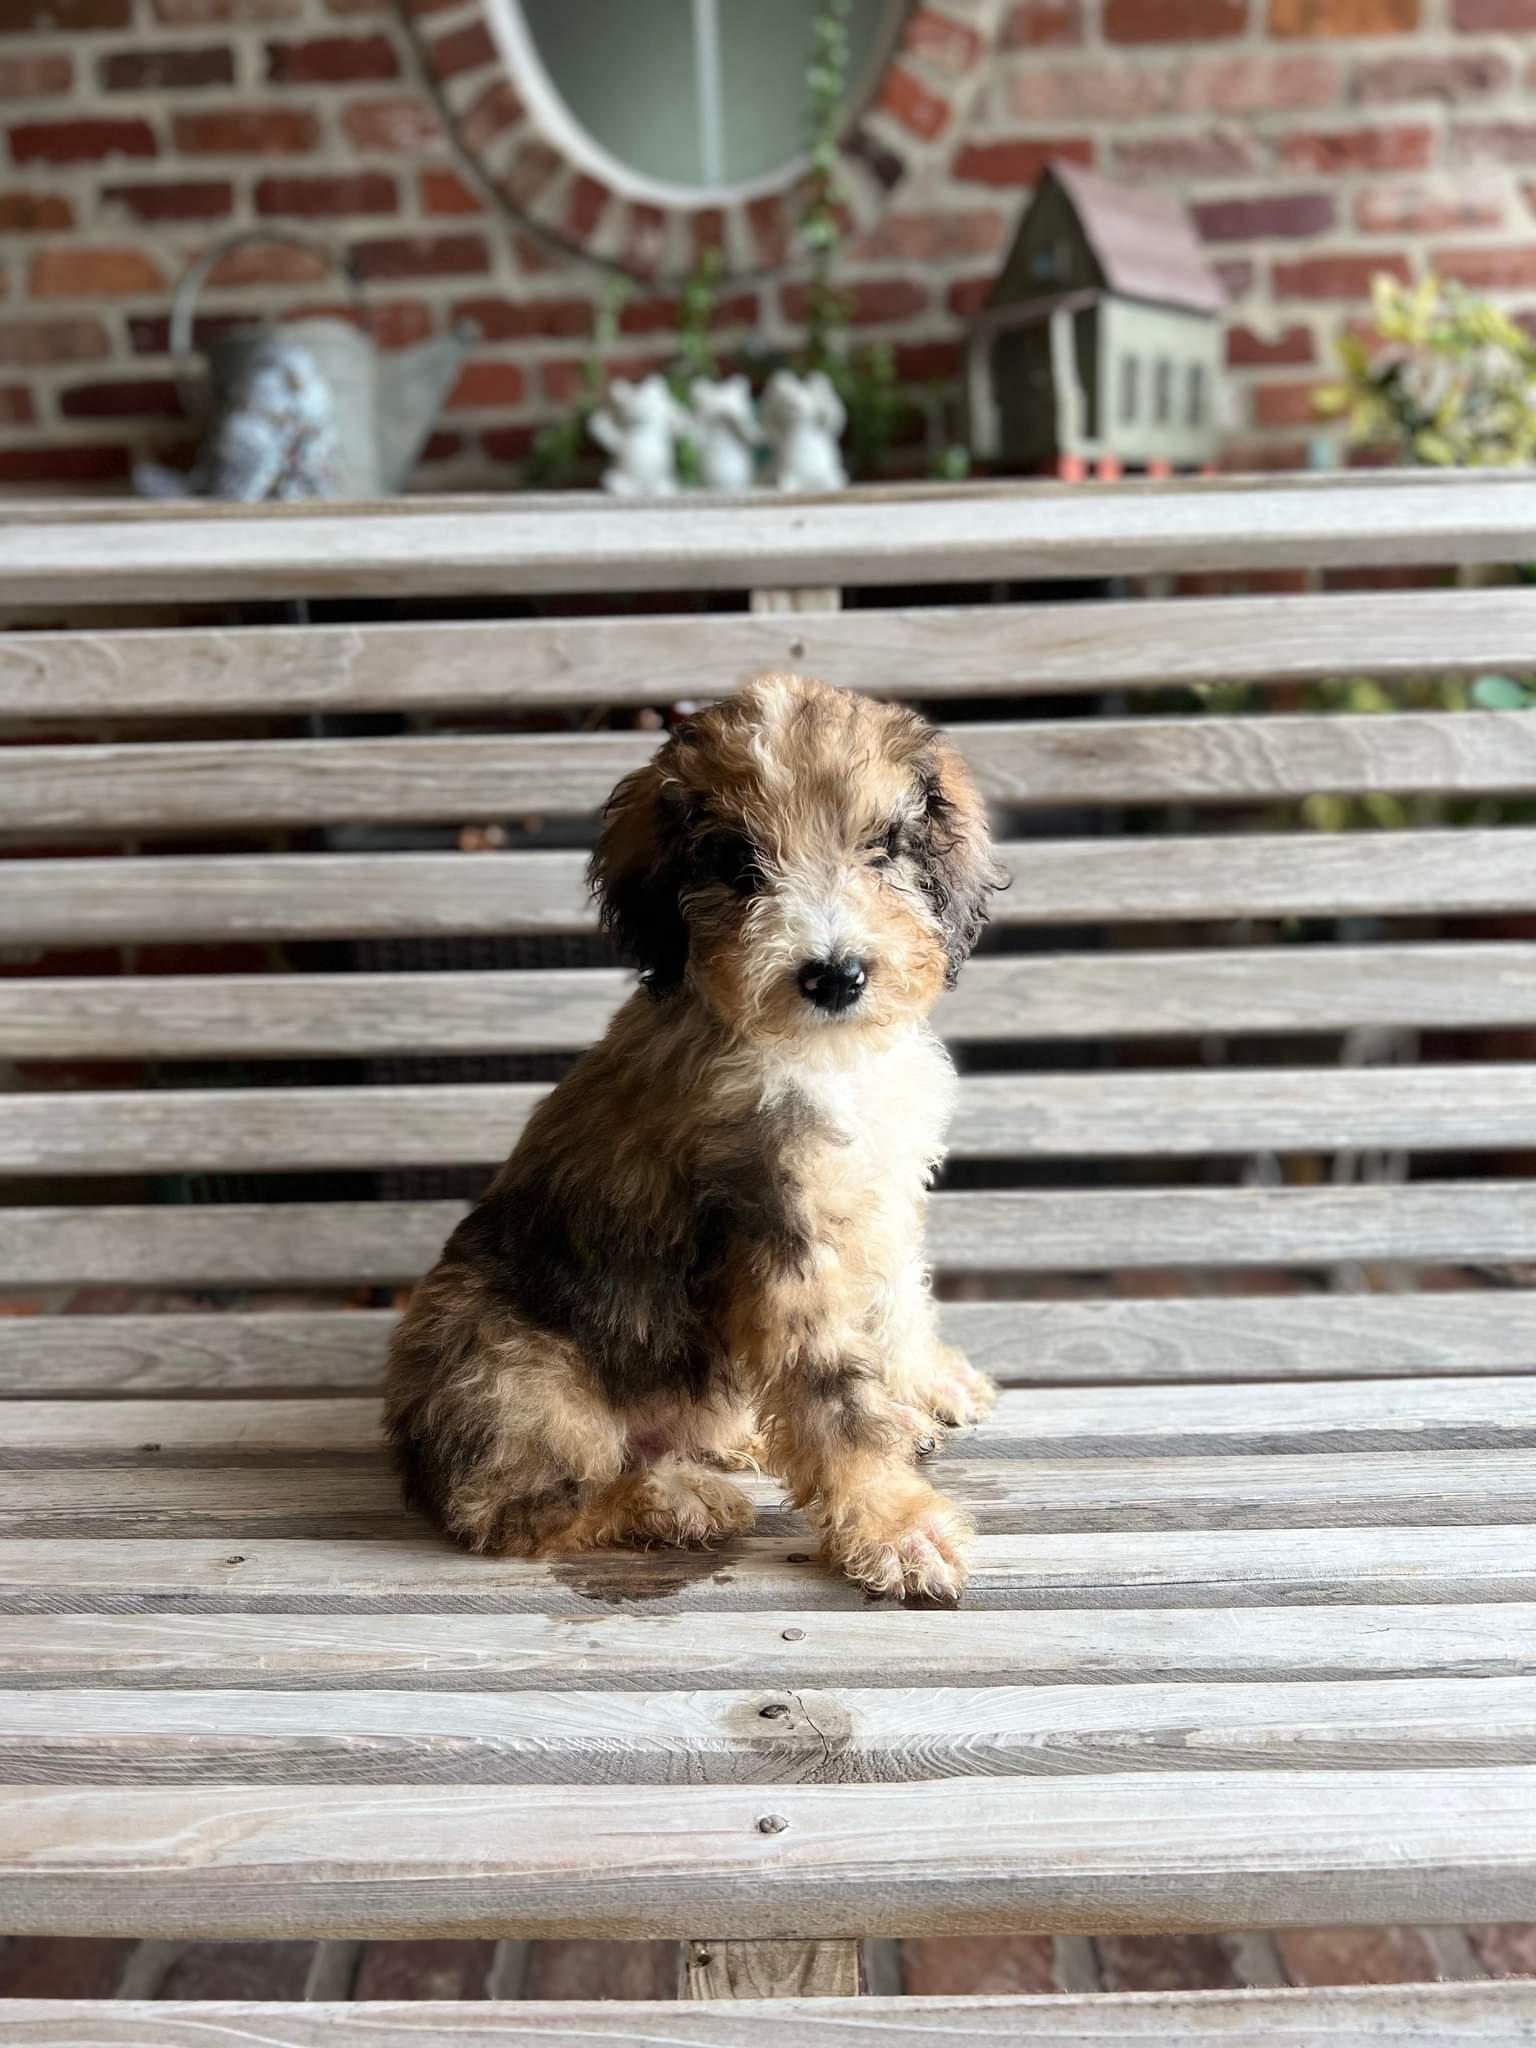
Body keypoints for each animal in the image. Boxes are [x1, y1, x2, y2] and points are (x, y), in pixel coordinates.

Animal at [384, 673, 1006, 1601]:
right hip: (516, 1375)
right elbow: (834, 1397)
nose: (836, 975)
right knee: (511, 1511)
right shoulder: (784, 1234)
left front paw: (925, 1383)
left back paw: (732, 1438)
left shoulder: (881, 1195)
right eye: (741, 865)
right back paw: (675, 1500)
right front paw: (896, 1526)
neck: (824, 1056)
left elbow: (898, 1299)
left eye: (883, 848)